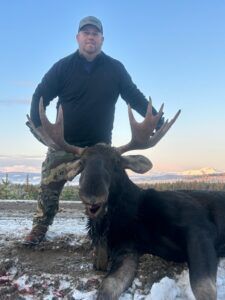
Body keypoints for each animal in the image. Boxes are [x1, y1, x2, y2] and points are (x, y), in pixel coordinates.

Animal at [26, 97, 225, 298]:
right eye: (82, 163)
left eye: (116, 163)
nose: (92, 195)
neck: (134, 215)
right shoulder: (126, 246)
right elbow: (108, 286)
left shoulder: (200, 228)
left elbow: (203, 288)